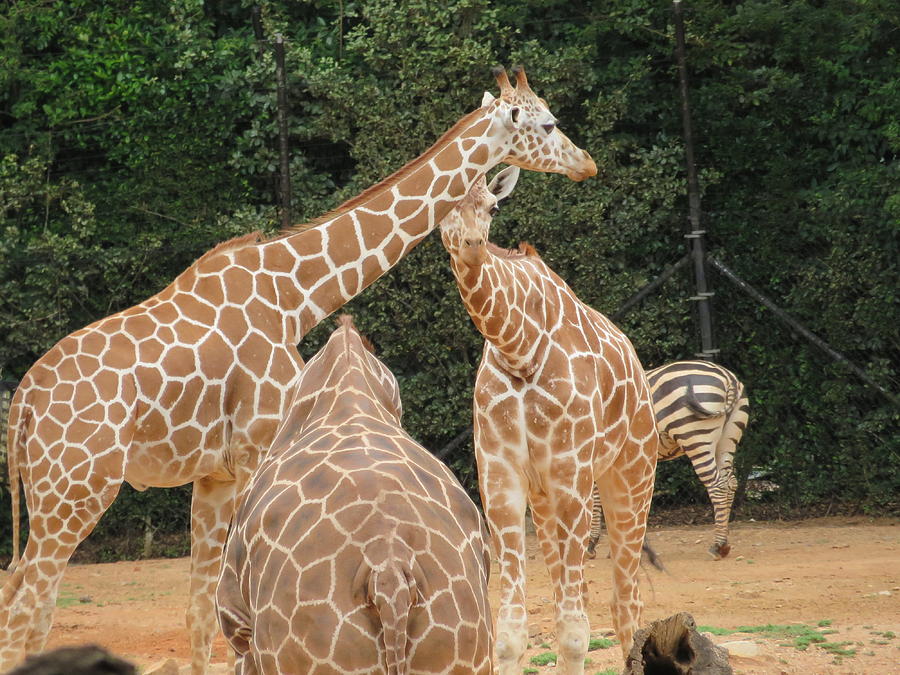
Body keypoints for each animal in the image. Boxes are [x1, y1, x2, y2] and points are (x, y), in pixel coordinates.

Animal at [440, 165, 656, 675]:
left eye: (494, 205)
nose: (472, 244)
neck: (518, 347)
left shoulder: (572, 476)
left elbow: (576, 632)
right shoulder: (500, 478)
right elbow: (509, 633)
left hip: (631, 478)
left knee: (625, 601)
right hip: (544, 500)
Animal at [588, 362, 748, 564]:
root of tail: (728, 377)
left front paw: (592, 544)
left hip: (695, 435)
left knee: (717, 485)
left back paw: (719, 546)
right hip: (728, 440)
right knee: (731, 483)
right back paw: (725, 541)